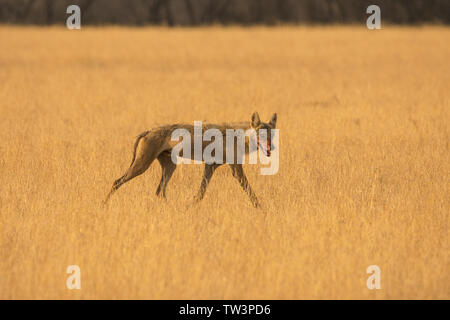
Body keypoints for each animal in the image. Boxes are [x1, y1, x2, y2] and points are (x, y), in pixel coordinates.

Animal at [103, 112, 276, 208]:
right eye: (262, 135)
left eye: (272, 134)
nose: (271, 148)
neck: (241, 137)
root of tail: (149, 130)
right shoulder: (235, 168)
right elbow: (250, 191)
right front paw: (260, 208)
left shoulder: (210, 166)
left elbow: (200, 193)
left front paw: (190, 206)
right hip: (142, 166)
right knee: (117, 181)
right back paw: (104, 205)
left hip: (169, 167)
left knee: (160, 191)